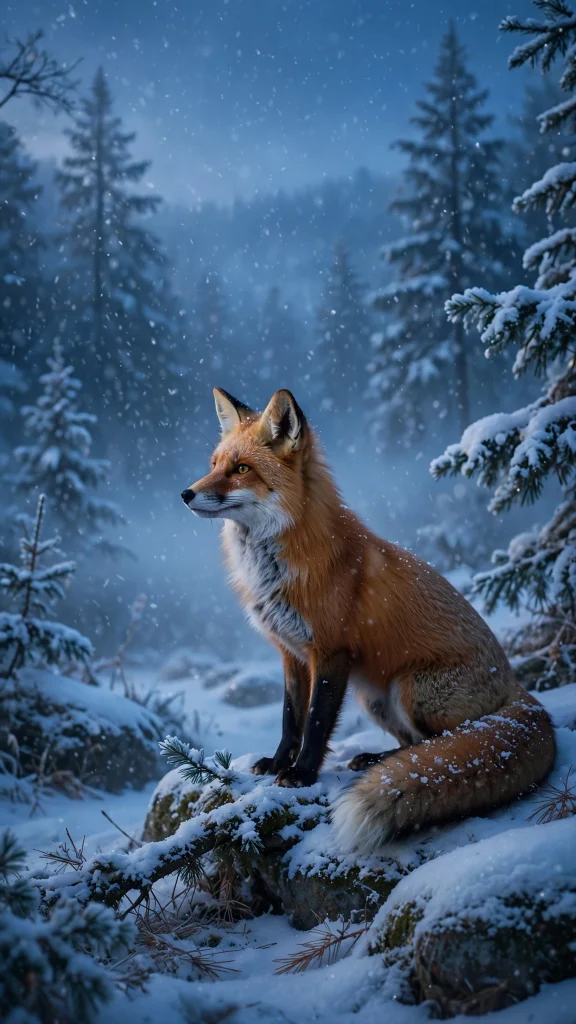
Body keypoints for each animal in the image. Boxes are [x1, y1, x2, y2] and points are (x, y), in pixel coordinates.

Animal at [181, 387, 556, 852]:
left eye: (242, 469)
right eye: (214, 465)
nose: (186, 493)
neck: (277, 567)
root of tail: (515, 684)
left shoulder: (331, 652)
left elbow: (316, 723)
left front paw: (301, 774)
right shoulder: (290, 654)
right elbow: (290, 718)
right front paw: (277, 763)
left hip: (410, 691)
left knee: (441, 744)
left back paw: (389, 763)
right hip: (374, 699)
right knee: (418, 743)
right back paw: (376, 758)